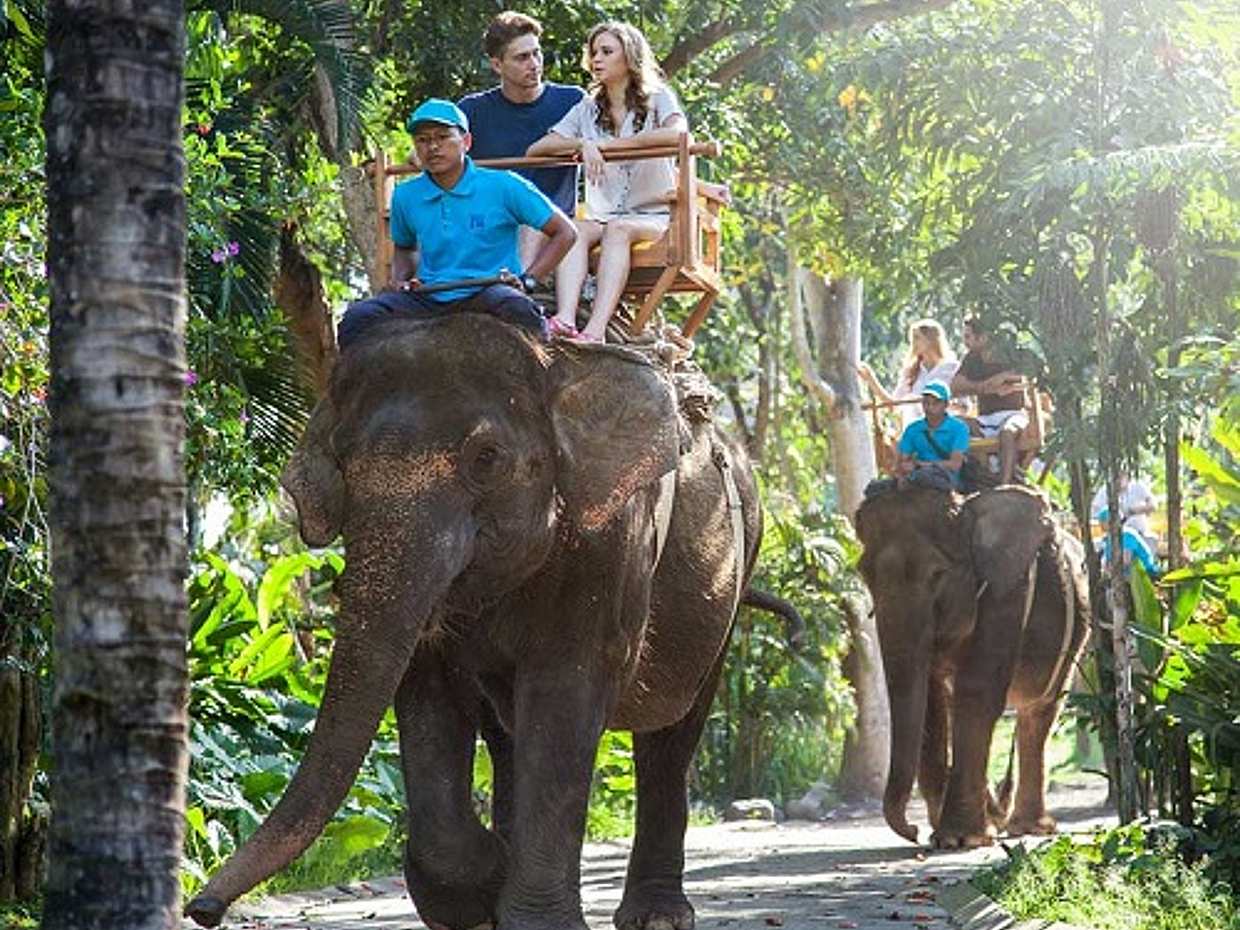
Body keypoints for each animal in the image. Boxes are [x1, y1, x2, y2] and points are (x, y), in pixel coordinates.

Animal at [186, 312, 762, 930]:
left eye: (486, 459)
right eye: (342, 462)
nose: (202, 908)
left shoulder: (609, 543)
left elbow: (566, 694)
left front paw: (529, 916)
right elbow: (427, 692)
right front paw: (483, 891)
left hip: (731, 575)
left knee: (672, 733)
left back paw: (656, 916)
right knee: (508, 737)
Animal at [854, 486, 1090, 849]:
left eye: (937, 574)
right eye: (864, 574)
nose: (913, 831)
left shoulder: (1006, 592)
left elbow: (977, 693)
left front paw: (959, 840)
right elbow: (932, 702)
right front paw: (952, 832)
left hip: (1078, 627)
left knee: (1040, 711)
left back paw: (1029, 827)